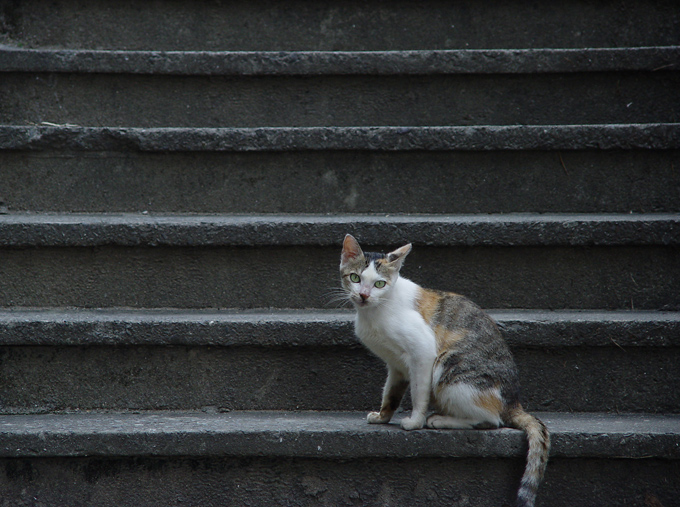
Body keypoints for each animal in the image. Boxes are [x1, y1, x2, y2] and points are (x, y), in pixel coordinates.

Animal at [340, 235, 552, 507]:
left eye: (379, 283)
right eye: (355, 278)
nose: (364, 295)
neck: (374, 313)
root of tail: (514, 402)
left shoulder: (423, 352)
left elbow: (419, 393)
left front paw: (415, 422)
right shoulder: (396, 365)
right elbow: (391, 393)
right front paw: (382, 416)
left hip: (450, 369)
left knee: (490, 420)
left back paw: (440, 419)